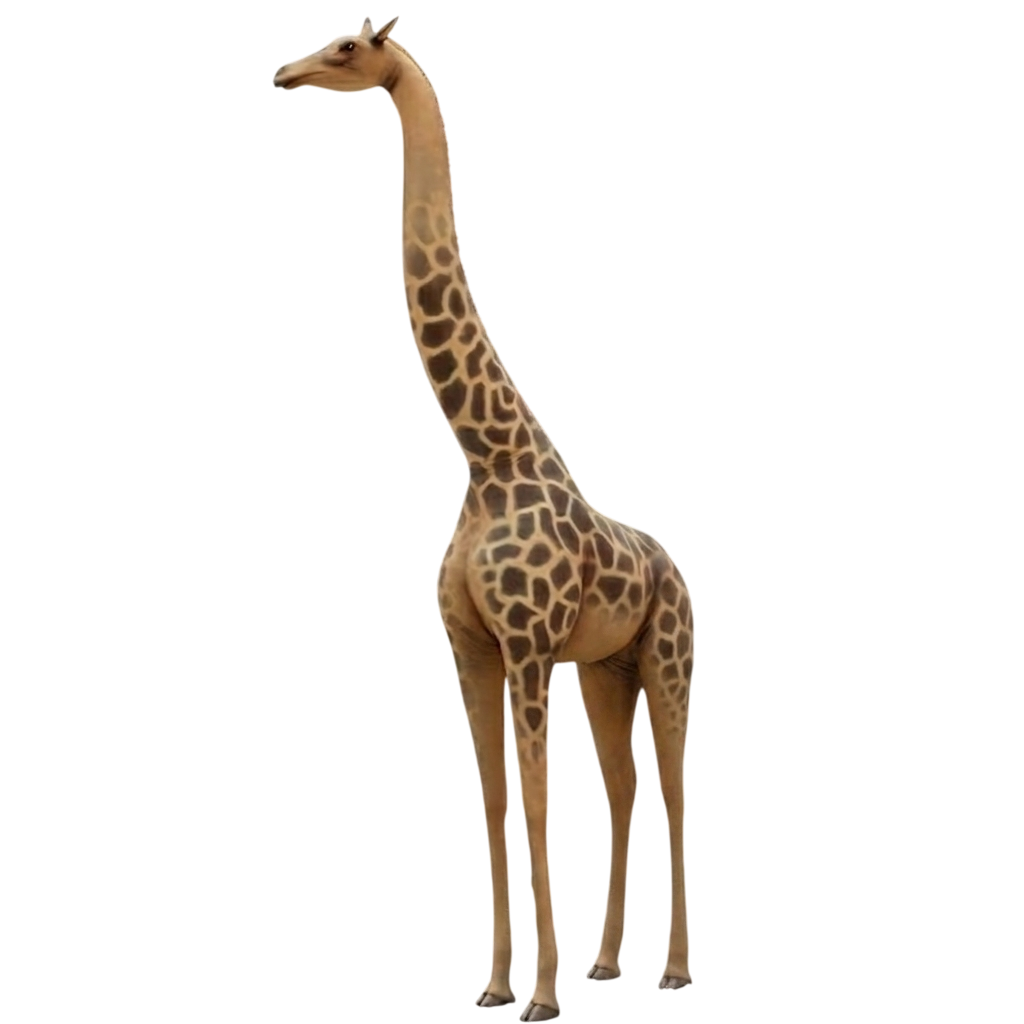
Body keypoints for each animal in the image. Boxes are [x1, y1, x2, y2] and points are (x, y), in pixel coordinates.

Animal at [273, 17, 694, 1022]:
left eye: (345, 48)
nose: (284, 74)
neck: (486, 454)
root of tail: (678, 567)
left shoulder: (529, 641)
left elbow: (539, 800)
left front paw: (541, 994)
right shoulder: (470, 645)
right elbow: (496, 801)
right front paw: (499, 984)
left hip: (670, 657)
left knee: (671, 786)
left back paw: (672, 969)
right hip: (608, 669)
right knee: (625, 788)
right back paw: (608, 963)